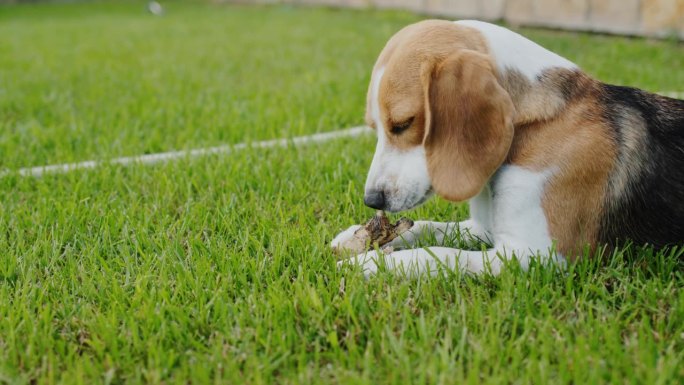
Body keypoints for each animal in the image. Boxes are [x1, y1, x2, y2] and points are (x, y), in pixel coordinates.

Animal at [332, 19, 684, 276]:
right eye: (374, 127)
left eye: (403, 123)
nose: (372, 199)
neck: (538, 124)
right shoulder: (482, 228)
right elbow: (427, 227)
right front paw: (358, 237)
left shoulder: (535, 254)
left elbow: (438, 255)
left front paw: (369, 264)